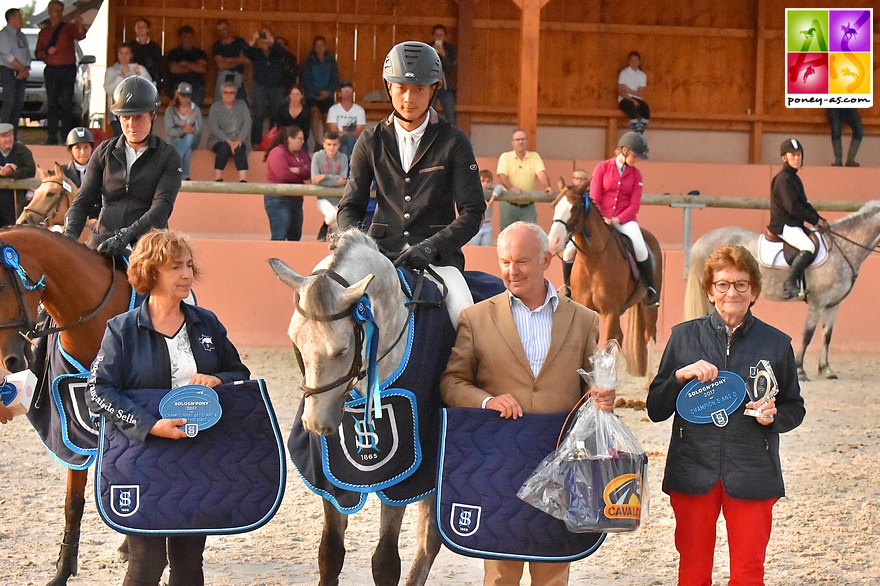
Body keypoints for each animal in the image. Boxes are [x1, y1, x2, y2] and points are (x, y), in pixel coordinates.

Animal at [270, 229, 440, 584]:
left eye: (342, 349)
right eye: (295, 341)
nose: (315, 424)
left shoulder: (404, 469)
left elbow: (386, 561)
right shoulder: (331, 472)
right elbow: (330, 552)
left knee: (428, 540)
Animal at [548, 180, 664, 376]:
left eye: (575, 207)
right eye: (555, 205)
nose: (553, 241)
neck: (593, 261)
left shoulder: (610, 311)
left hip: (649, 306)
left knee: (650, 337)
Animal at [688, 200, 880, 378]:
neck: (841, 250)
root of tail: (701, 240)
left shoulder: (832, 304)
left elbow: (827, 336)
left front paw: (826, 369)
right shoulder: (817, 302)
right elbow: (807, 334)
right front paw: (800, 369)